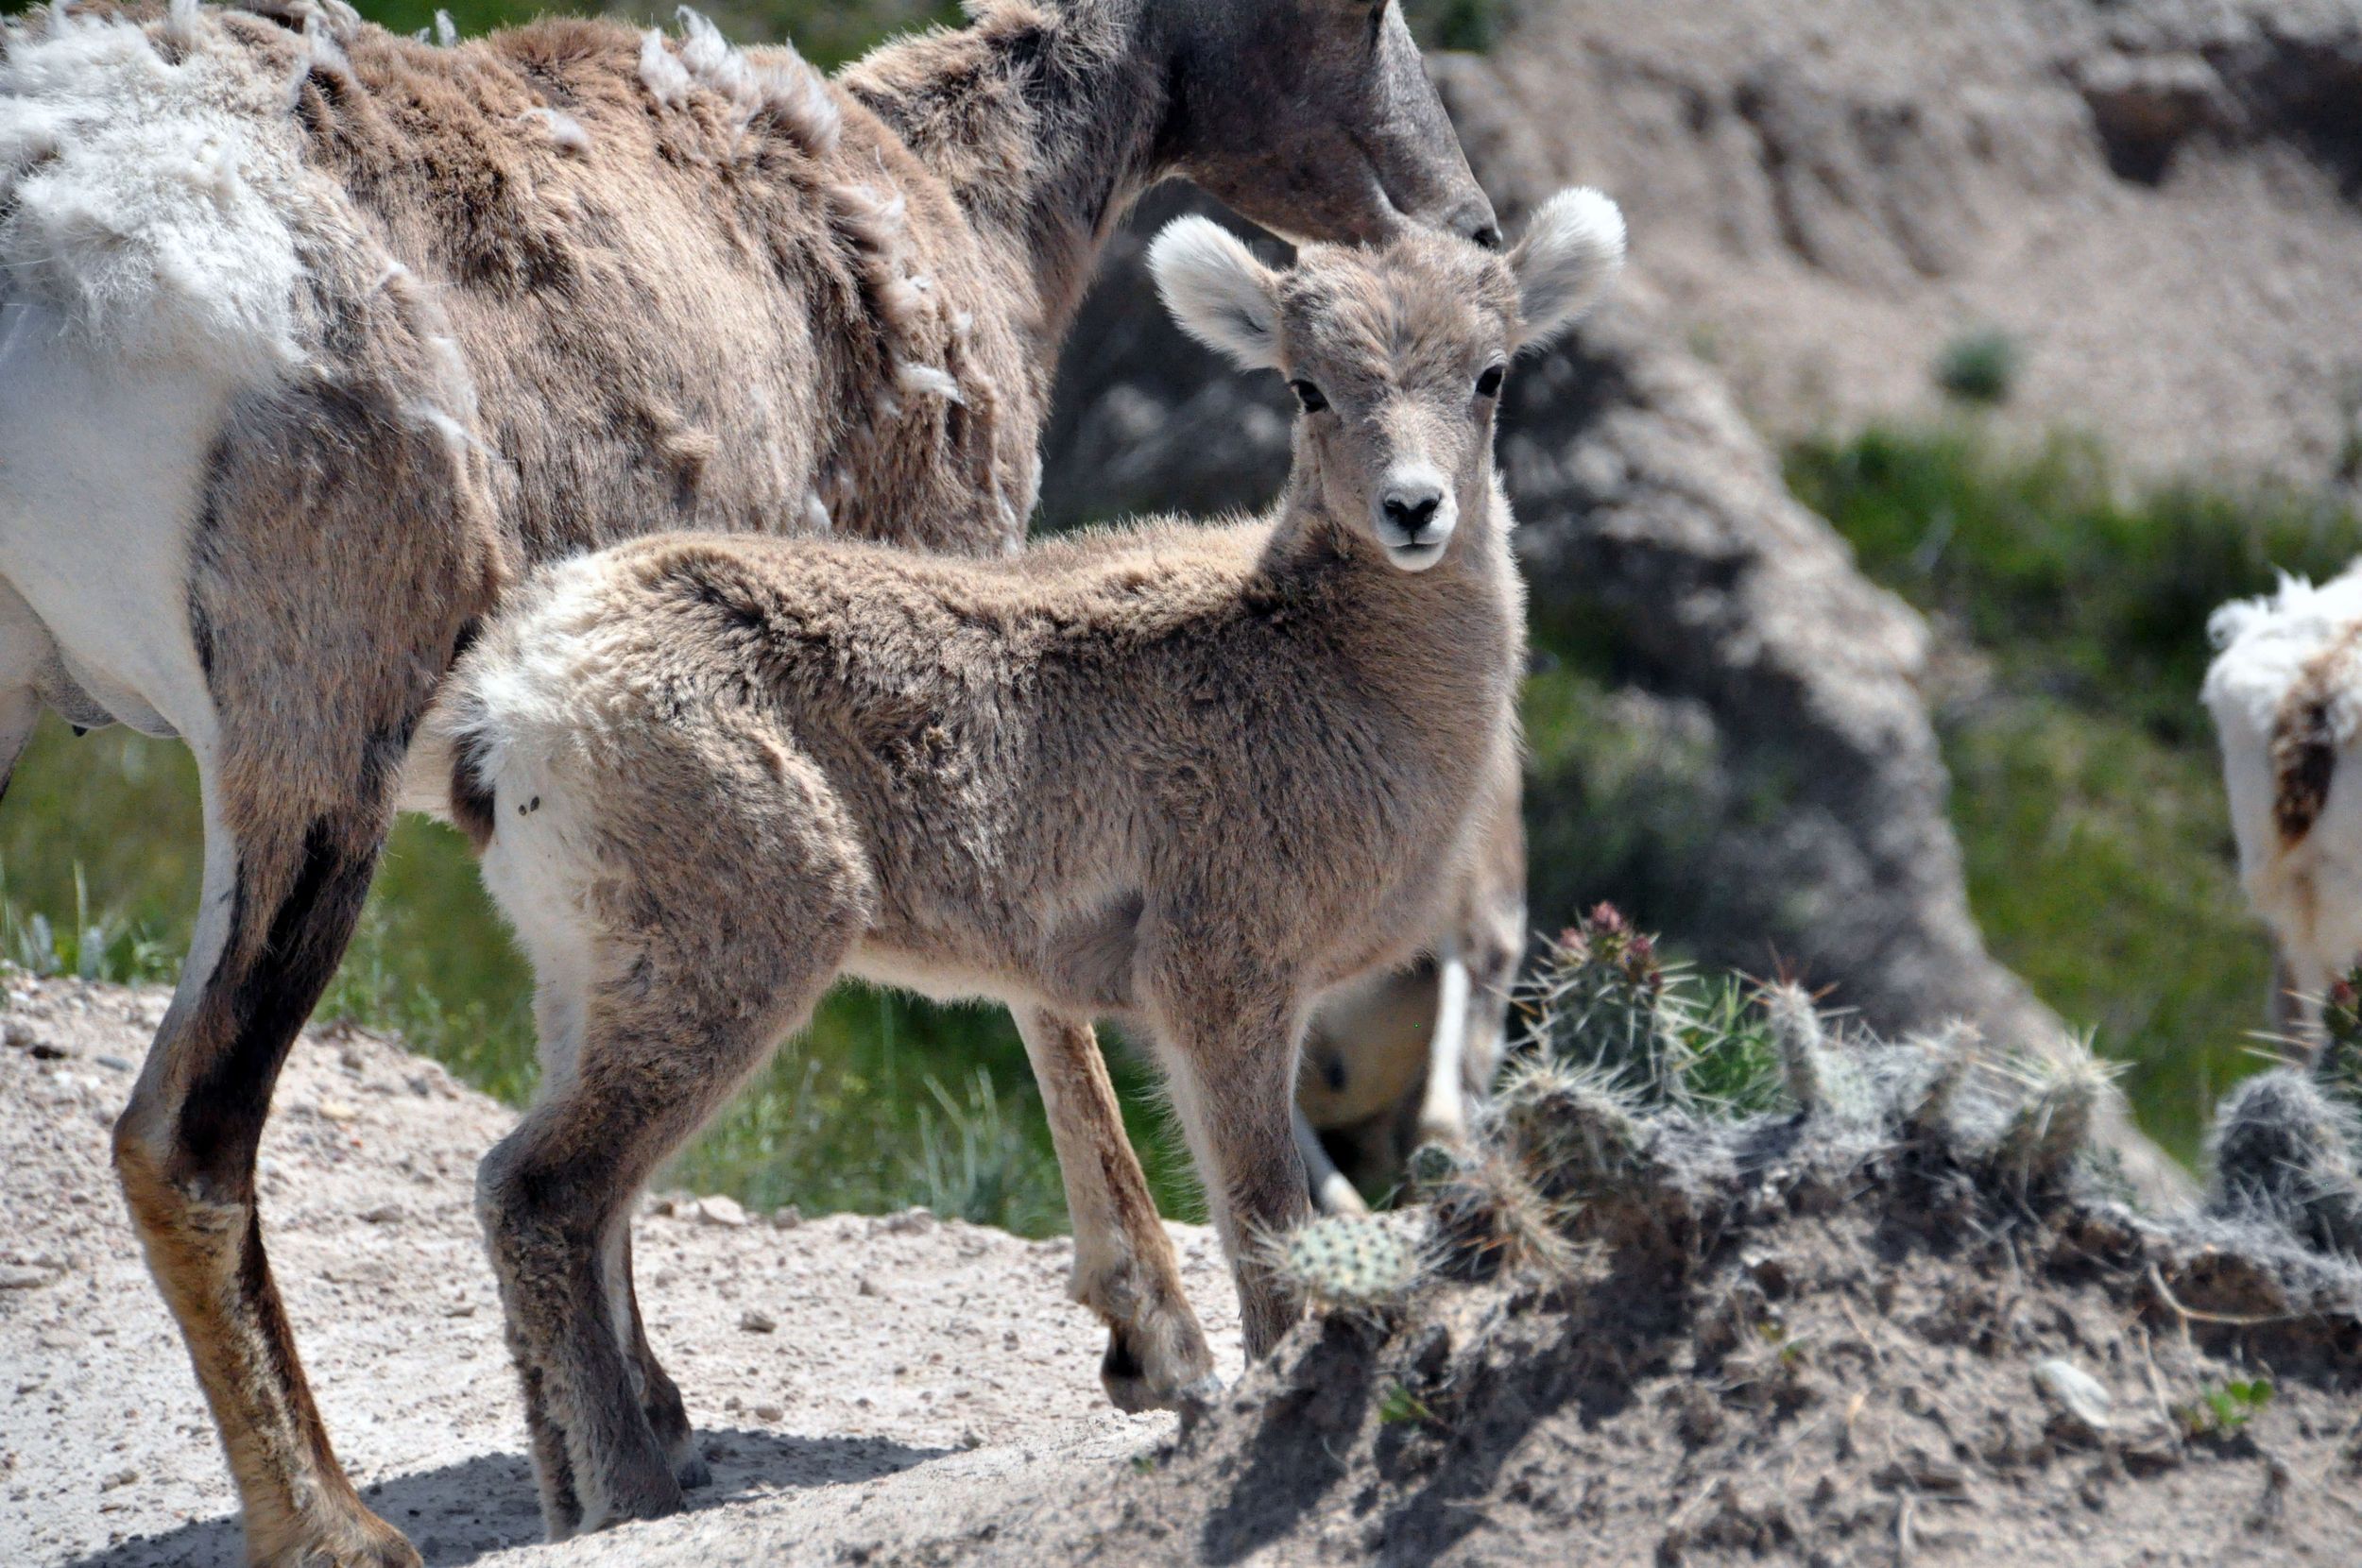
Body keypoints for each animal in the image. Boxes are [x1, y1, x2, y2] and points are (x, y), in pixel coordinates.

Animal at [0, 2, 1495, 1559]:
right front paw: (1160, 1350)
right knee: (186, 1134)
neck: (956, 196)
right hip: (312, 748)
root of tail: (48, 229)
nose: (1470, 222)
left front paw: (648, 1427)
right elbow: (1050, 1011)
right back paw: (337, 1529)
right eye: (1359, 16)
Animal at [419, 188, 1625, 1538]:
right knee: (546, 1191)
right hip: (730, 956)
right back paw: (633, 1495)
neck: (1334, 671)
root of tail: (510, 698)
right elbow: (1266, 1226)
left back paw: (575, 1491)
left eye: (1490, 373)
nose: (1414, 510)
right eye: (1308, 385)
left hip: (585, 973)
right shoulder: (1220, 984)